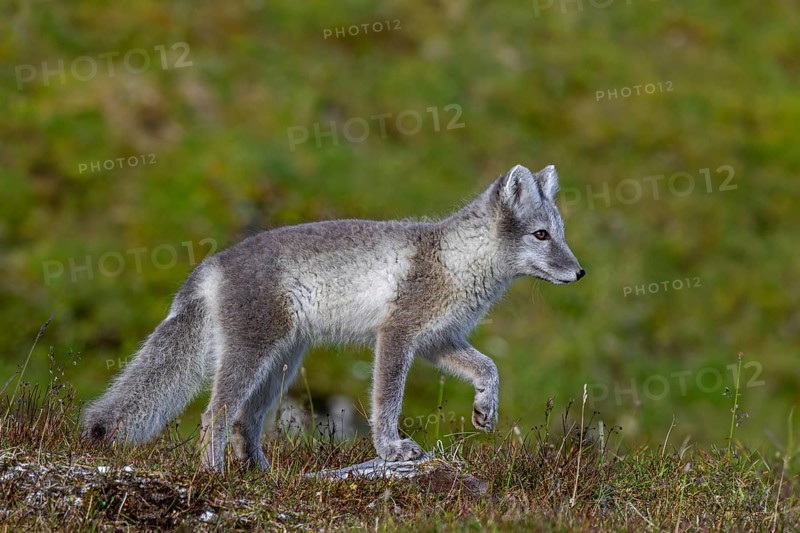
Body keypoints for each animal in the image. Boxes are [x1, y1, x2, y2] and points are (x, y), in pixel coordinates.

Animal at [82, 163, 585, 471]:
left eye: (561, 233)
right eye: (541, 235)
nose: (580, 272)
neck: (458, 262)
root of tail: (212, 263)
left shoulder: (438, 341)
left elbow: (490, 367)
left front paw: (485, 409)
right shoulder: (396, 334)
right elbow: (387, 402)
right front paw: (391, 449)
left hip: (281, 367)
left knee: (245, 421)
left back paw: (263, 476)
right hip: (251, 355)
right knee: (215, 415)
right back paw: (214, 474)